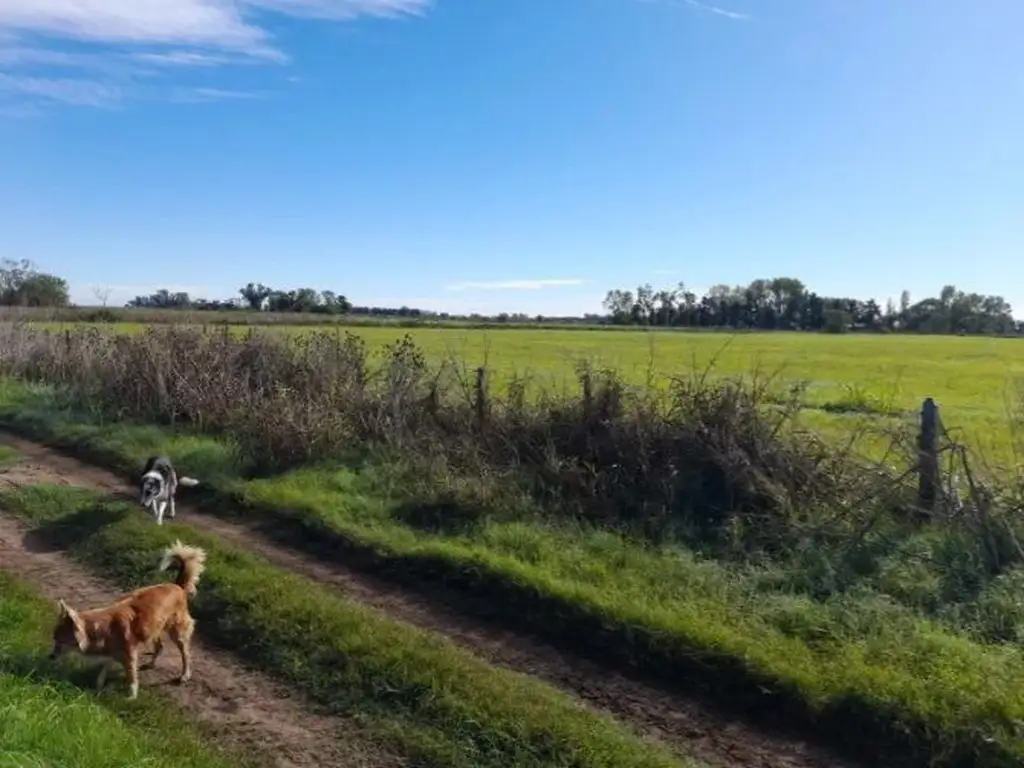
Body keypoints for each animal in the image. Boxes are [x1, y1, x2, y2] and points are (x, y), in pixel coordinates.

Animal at [49, 540, 205, 696]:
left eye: (61, 641)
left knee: (185, 654)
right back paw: (151, 663)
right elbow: (102, 671)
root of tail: (177, 585)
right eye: (55, 639)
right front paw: (97, 689)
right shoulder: (110, 652)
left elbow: (131, 678)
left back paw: (185, 674)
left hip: (177, 632)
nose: (51, 657)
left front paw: (131, 696)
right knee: (160, 646)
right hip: (154, 627)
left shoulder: (129, 655)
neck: (102, 628)